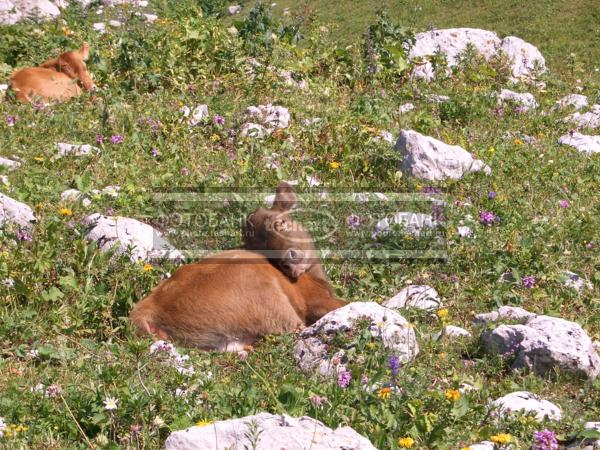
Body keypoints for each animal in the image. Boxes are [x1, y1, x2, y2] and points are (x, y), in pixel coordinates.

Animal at [131, 184, 346, 352]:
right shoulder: (315, 300)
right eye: (263, 249)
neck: (316, 278)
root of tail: (148, 308)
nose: (289, 261)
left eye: (281, 223)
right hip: (269, 304)